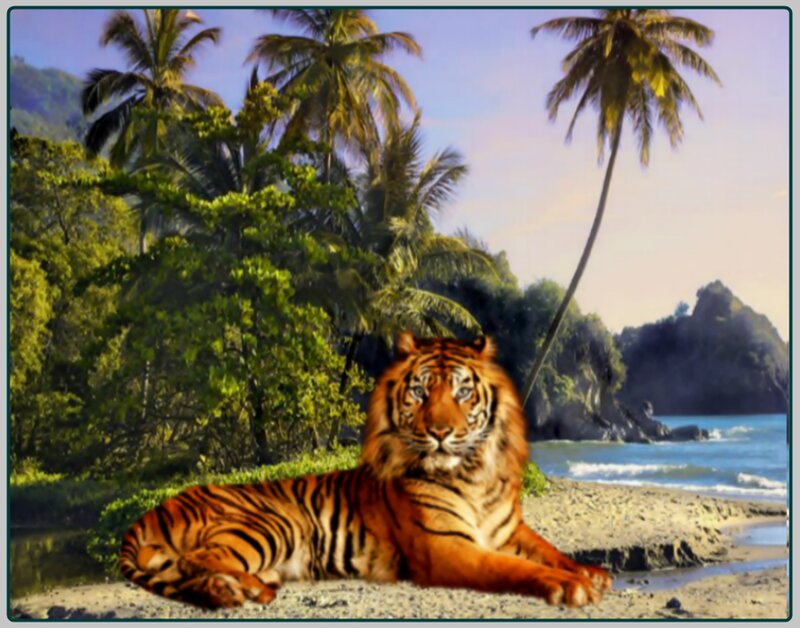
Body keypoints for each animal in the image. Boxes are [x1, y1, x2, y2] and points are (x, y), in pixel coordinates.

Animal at [119, 331, 612, 610]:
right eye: (419, 391)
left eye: (463, 392)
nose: (440, 432)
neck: (475, 475)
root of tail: (153, 509)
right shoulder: (447, 548)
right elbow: (512, 568)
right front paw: (571, 586)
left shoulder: (510, 531)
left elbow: (550, 551)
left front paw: (590, 572)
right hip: (269, 523)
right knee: (196, 559)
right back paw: (248, 591)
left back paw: (236, 590)